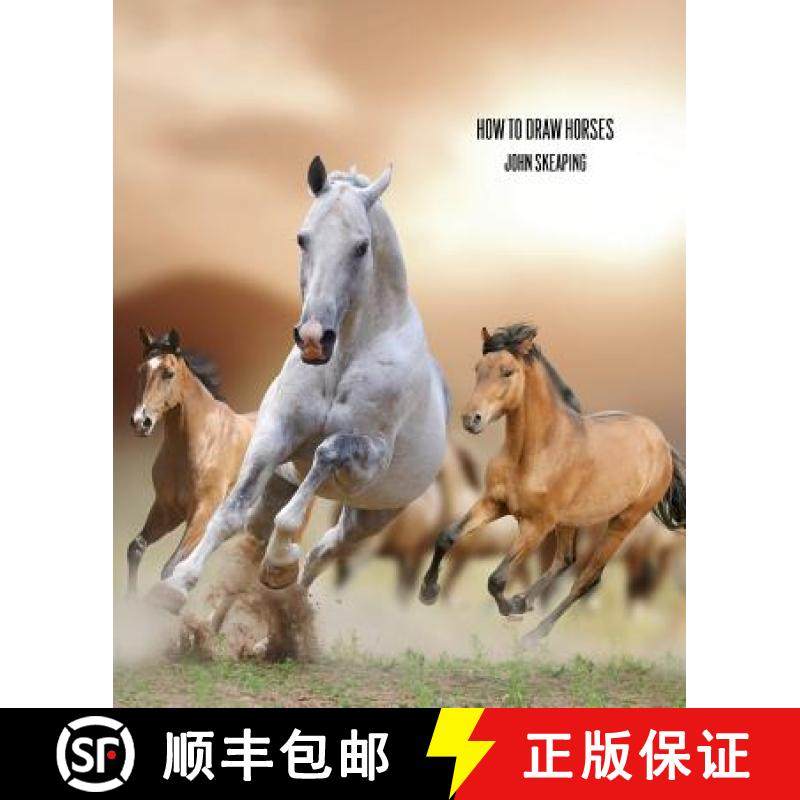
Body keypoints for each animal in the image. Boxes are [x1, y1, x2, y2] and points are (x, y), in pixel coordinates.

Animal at [127, 327, 256, 593]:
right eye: (140, 370)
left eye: (168, 373)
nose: (140, 422)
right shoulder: (167, 510)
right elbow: (136, 548)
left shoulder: (202, 513)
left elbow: (170, 568)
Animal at [152, 157, 449, 612]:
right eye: (302, 239)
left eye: (361, 246)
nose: (313, 338)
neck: (342, 360)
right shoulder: (275, 434)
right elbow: (230, 513)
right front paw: (178, 584)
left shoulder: (366, 459)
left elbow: (323, 459)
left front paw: (279, 562)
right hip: (284, 484)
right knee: (267, 530)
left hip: (370, 516)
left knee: (325, 550)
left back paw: (287, 589)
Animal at [420, 323, 685, 645]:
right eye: (478, 368)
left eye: (507, 371)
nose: (472, 419)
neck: (535, 451)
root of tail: (661, 443)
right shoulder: (494, 503)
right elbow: (446, 536)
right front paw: (428, 592)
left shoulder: (537, 524)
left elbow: (496, 579)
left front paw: (510, 610)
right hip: (570, 521)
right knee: (565, 560)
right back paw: (524, 601)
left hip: (622, 523)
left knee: (586, 578)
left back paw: (532, 635)